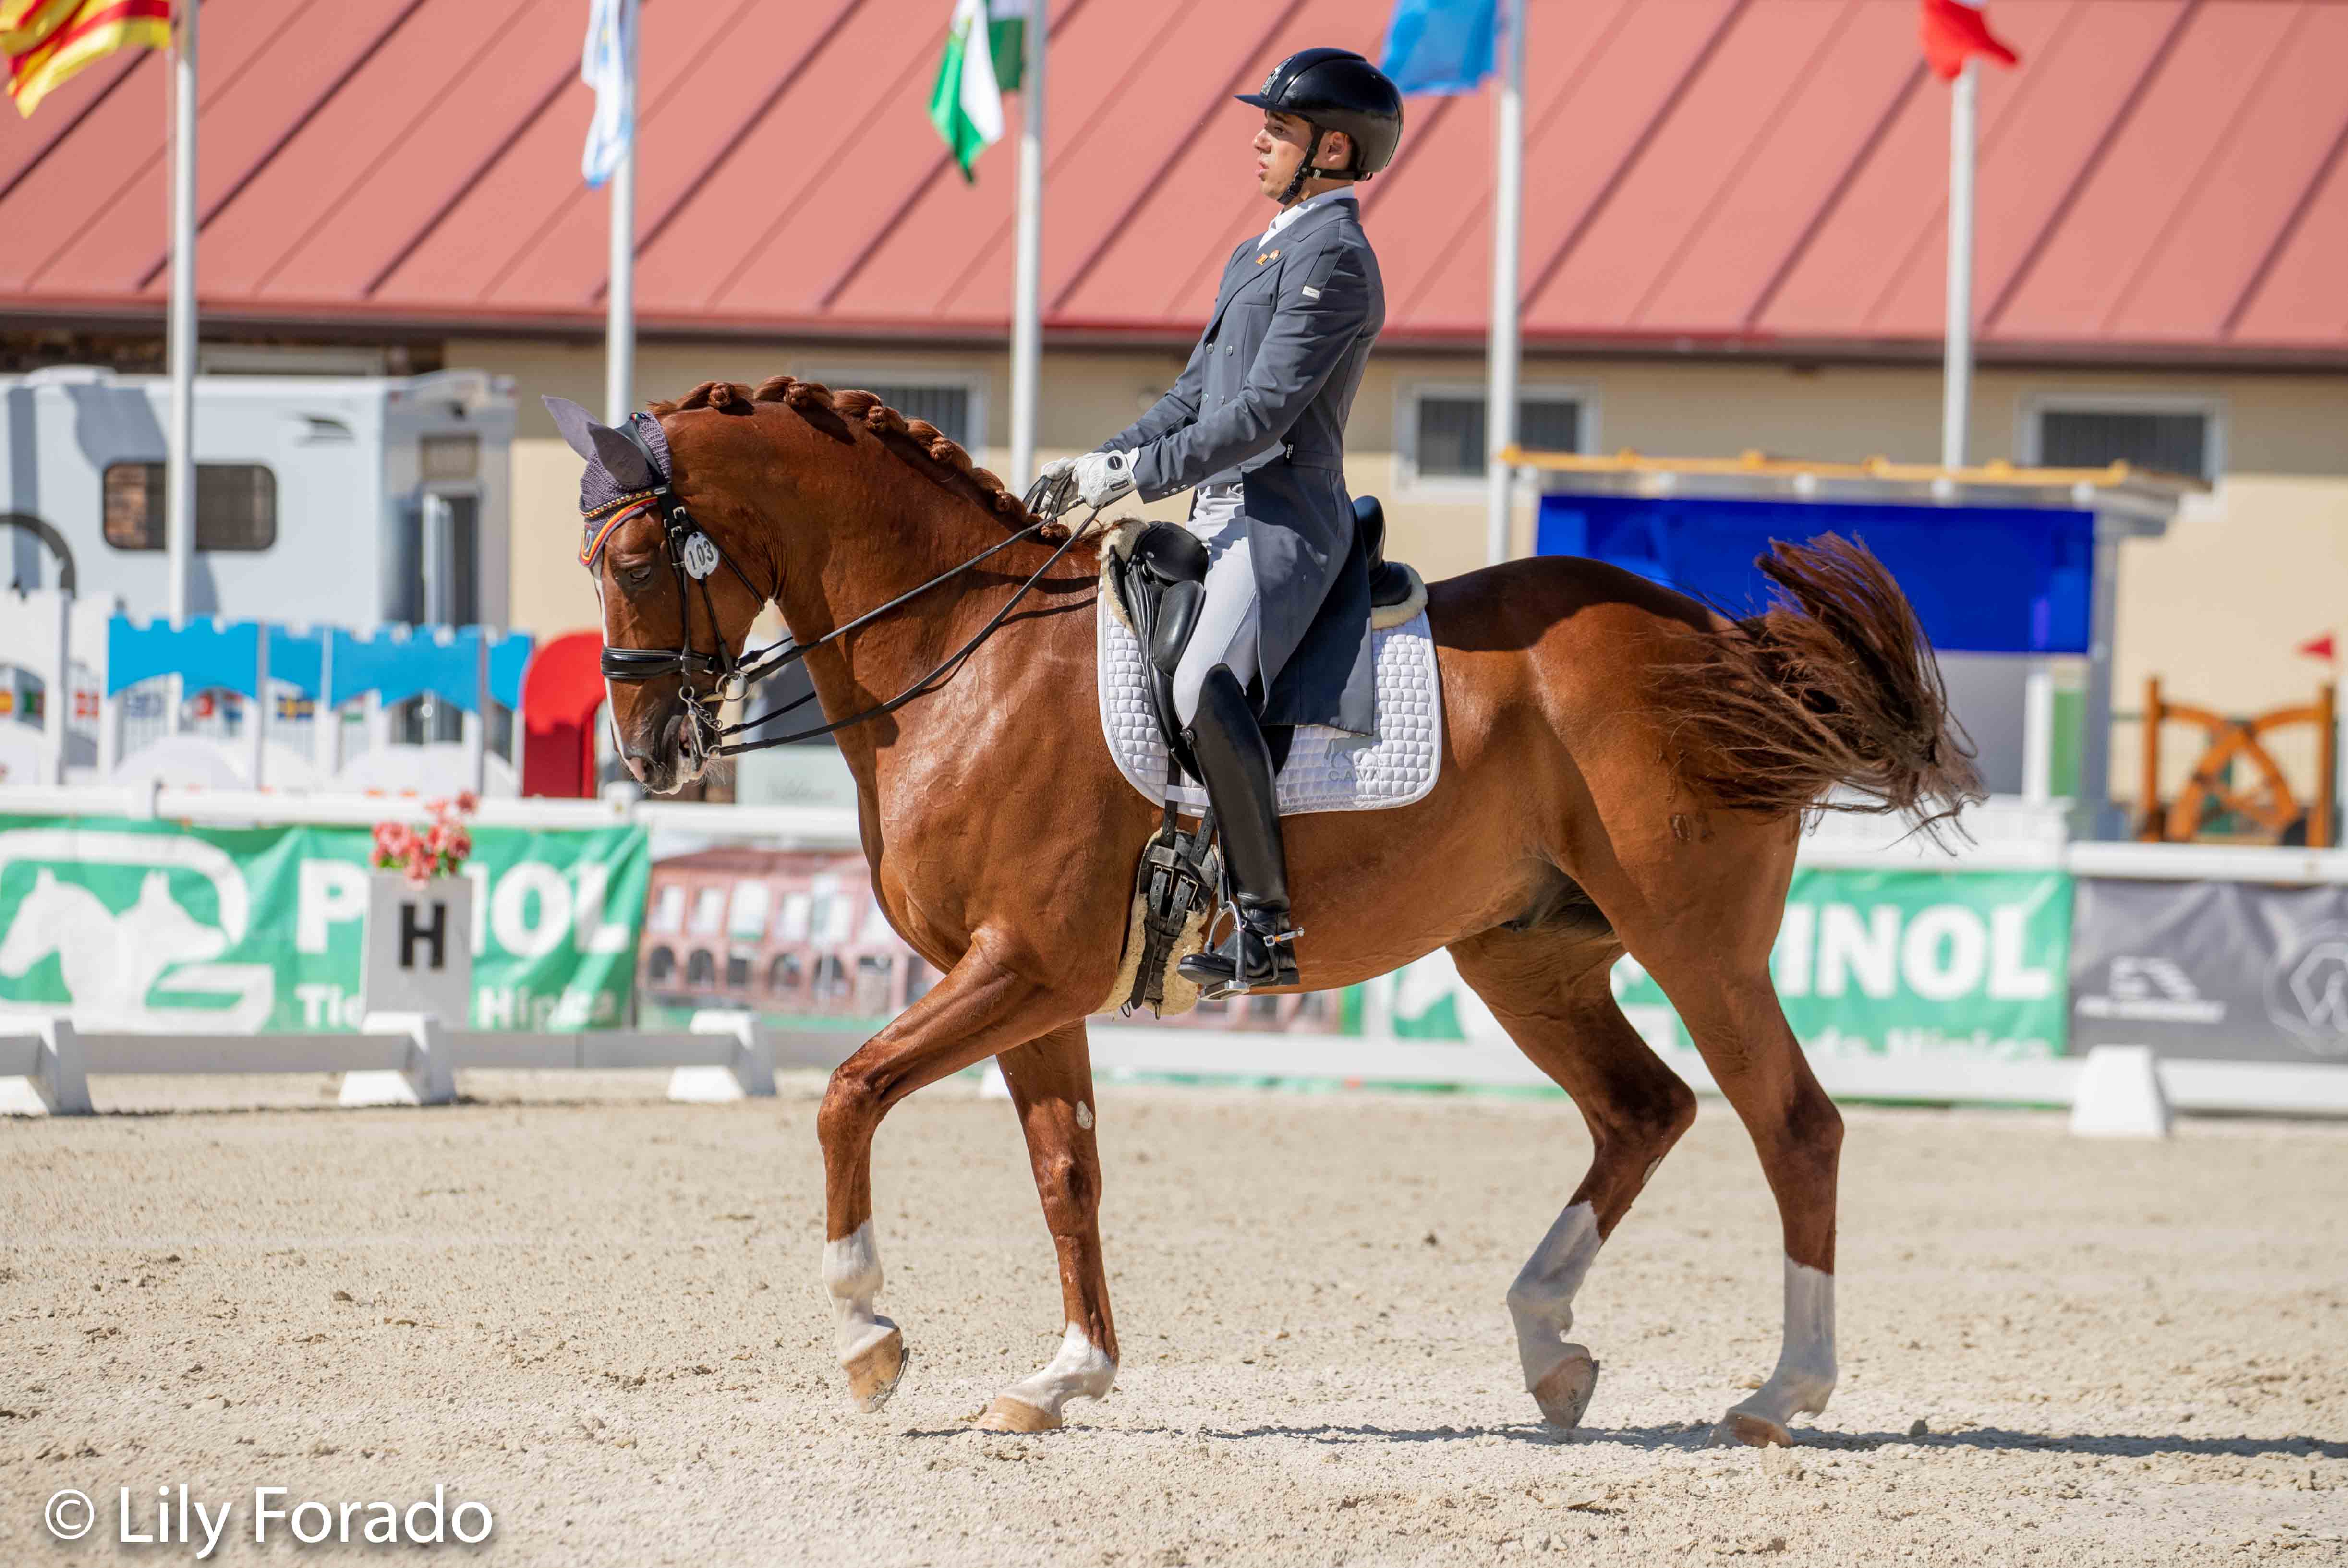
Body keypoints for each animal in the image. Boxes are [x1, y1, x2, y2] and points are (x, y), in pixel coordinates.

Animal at [573, 375, 1982, 1446]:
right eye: (592, 561)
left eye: (636, 559)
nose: (646, 752)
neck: (962, 659)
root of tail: (1720, 642)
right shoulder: (1033, 987)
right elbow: (1065, 1167)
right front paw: (1064, 1375)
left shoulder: (1020, 966)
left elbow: (848, 1091)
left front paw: (868, 1333)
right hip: (1524, 956)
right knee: (1645, 1110)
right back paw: (1549, 1348)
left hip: (1696, 944)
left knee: (1791, 1125)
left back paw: (1778, 1392)